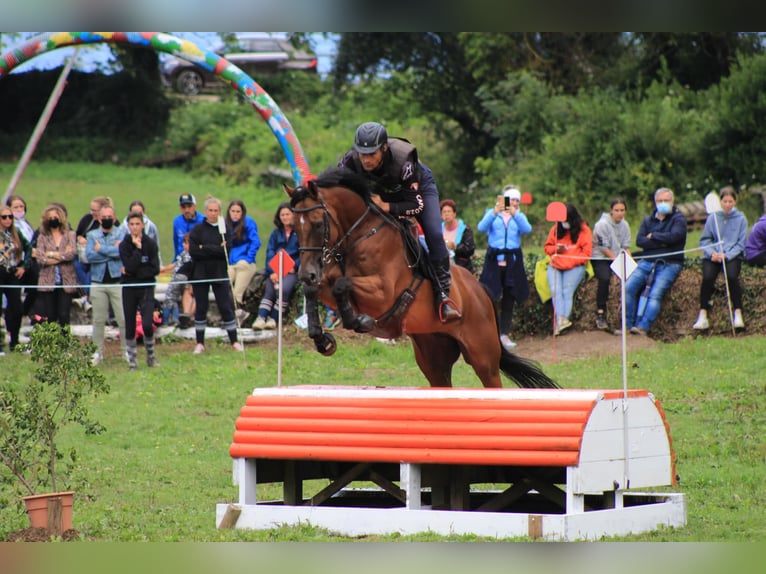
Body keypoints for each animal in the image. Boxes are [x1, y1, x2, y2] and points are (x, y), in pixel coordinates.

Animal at [284, 166, 560, 392]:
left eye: (317, 224)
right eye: (294, 227)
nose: (305, 272)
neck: (360, 233)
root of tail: (481, 290)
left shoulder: (383, 293)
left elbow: (343, 285)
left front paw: (360, 320)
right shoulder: (327, 280)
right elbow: (314, 289)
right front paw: (321, 338)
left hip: (483, 355)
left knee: (492, 380)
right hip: (433, 356)